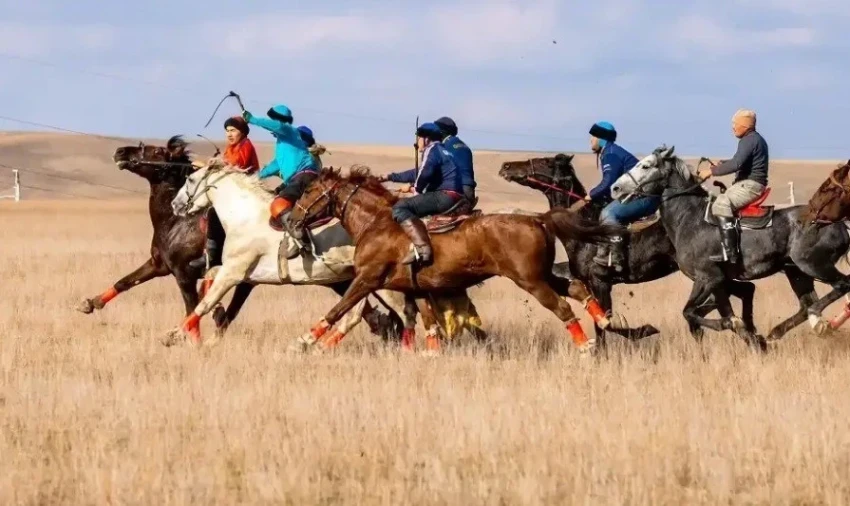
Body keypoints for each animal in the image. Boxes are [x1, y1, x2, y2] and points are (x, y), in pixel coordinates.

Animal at [168, 160, 486, 351]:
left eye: (191, 179)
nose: (175, 205)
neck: (245, 216)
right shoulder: (242, 274)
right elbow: (210, 293)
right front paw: (204, 335)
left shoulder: (235, 272)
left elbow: (205, 303)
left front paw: (175, 335)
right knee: (365, 313)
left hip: (378, 282)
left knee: (399, 311)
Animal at [286, 166, 622, 356]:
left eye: (310, 190)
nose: (290, 219)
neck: (376, 222)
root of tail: (538, 218)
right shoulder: (418, 288)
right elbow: (427, 321)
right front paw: (430, 353)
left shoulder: (367, 279)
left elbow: (338, 310)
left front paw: (304, 340)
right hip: (542, 275)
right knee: (576, 288)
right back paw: (603, 319)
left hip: (531, 281)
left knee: (562, 307)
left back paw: (586, 346)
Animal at [499, 154, 759, 345]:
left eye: (545, 161)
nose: (506, 166)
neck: (585, 229)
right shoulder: (588, 283)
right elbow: (600, 323)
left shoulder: (601, 281)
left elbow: (606, 322)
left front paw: (645, 330)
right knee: (743, 291)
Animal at [609, 145, 850, 348]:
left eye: (646, 165)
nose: (615, 188)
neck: (689, 218)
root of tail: (838, 223)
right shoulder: (719, 282)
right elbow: (709, 311)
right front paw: (748, 333)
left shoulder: (708, 278)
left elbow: (691, 311)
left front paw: (735, 324)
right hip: (796, 272)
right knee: (805, 304)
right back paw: (778, 332)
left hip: (813, 264)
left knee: (839, 286)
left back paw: (816, 320)